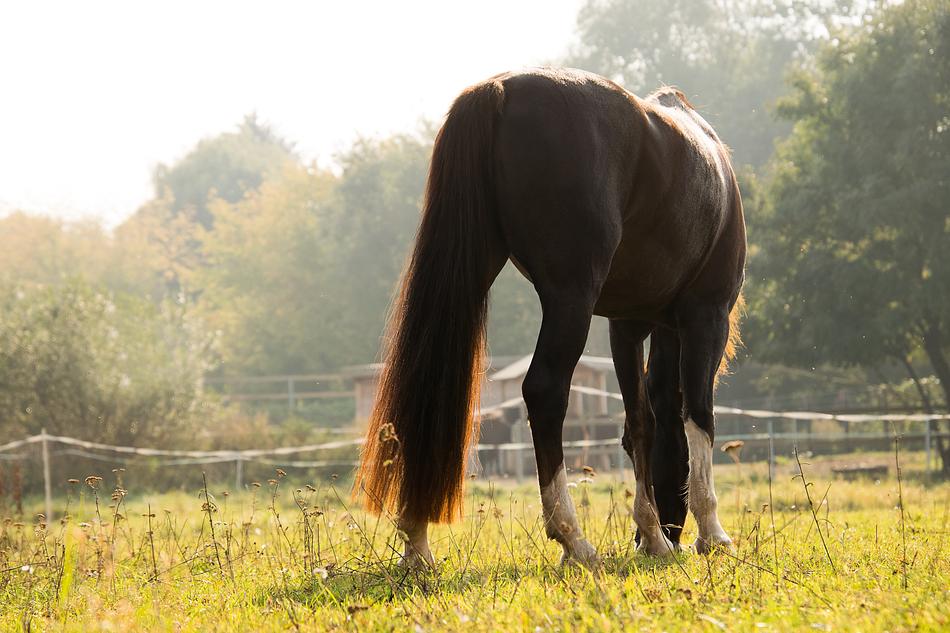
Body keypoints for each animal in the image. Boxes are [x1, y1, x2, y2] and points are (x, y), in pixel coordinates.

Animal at [355, 68, 746, 568]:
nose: (670, 536)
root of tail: (503, 88)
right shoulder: (705, 316)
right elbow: (697, 414)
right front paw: (711, 532)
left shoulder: (628, 325)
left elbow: (641, 421)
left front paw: (652, 534)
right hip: (570, 300)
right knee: (545, 392)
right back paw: (573, 540)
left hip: (473, 272)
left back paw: (417, 545)